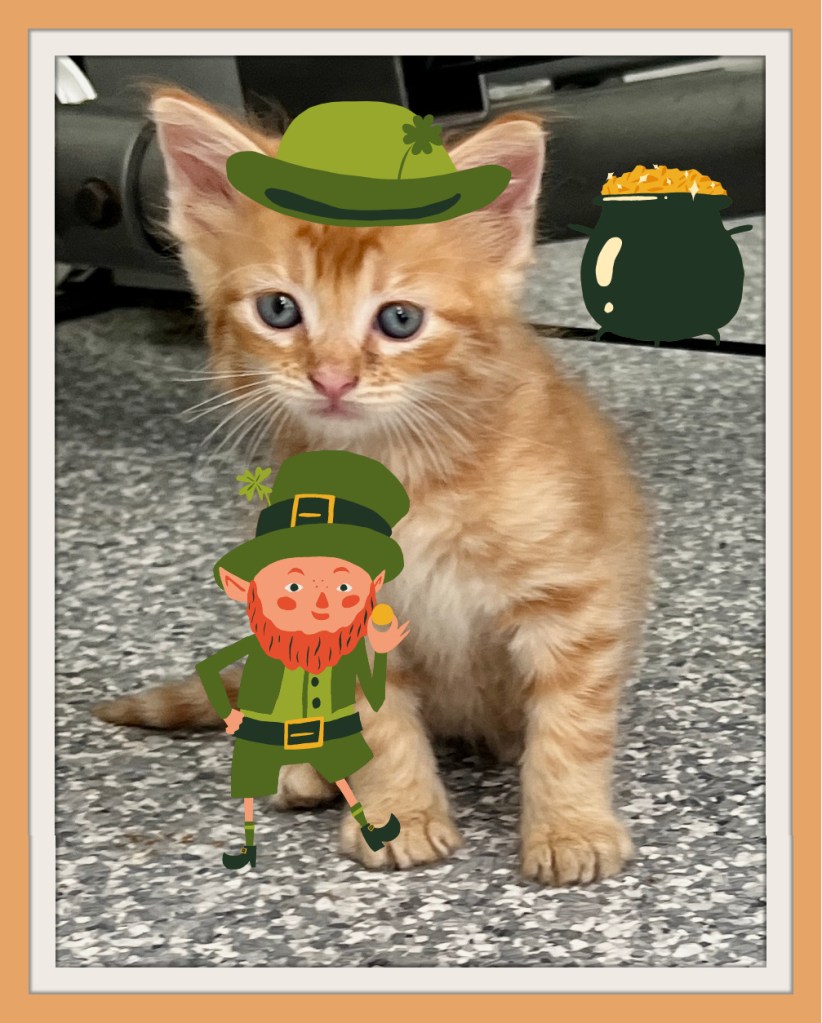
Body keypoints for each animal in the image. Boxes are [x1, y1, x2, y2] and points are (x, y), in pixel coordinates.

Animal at [95, 86, 649, 885]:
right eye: (279, 310)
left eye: (399, 319)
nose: (332, 377)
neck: (404, 472)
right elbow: (377, 724)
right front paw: (399, 815)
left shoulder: (573, 598)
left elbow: (571, 723)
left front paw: (570, 826)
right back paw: (311, 772)